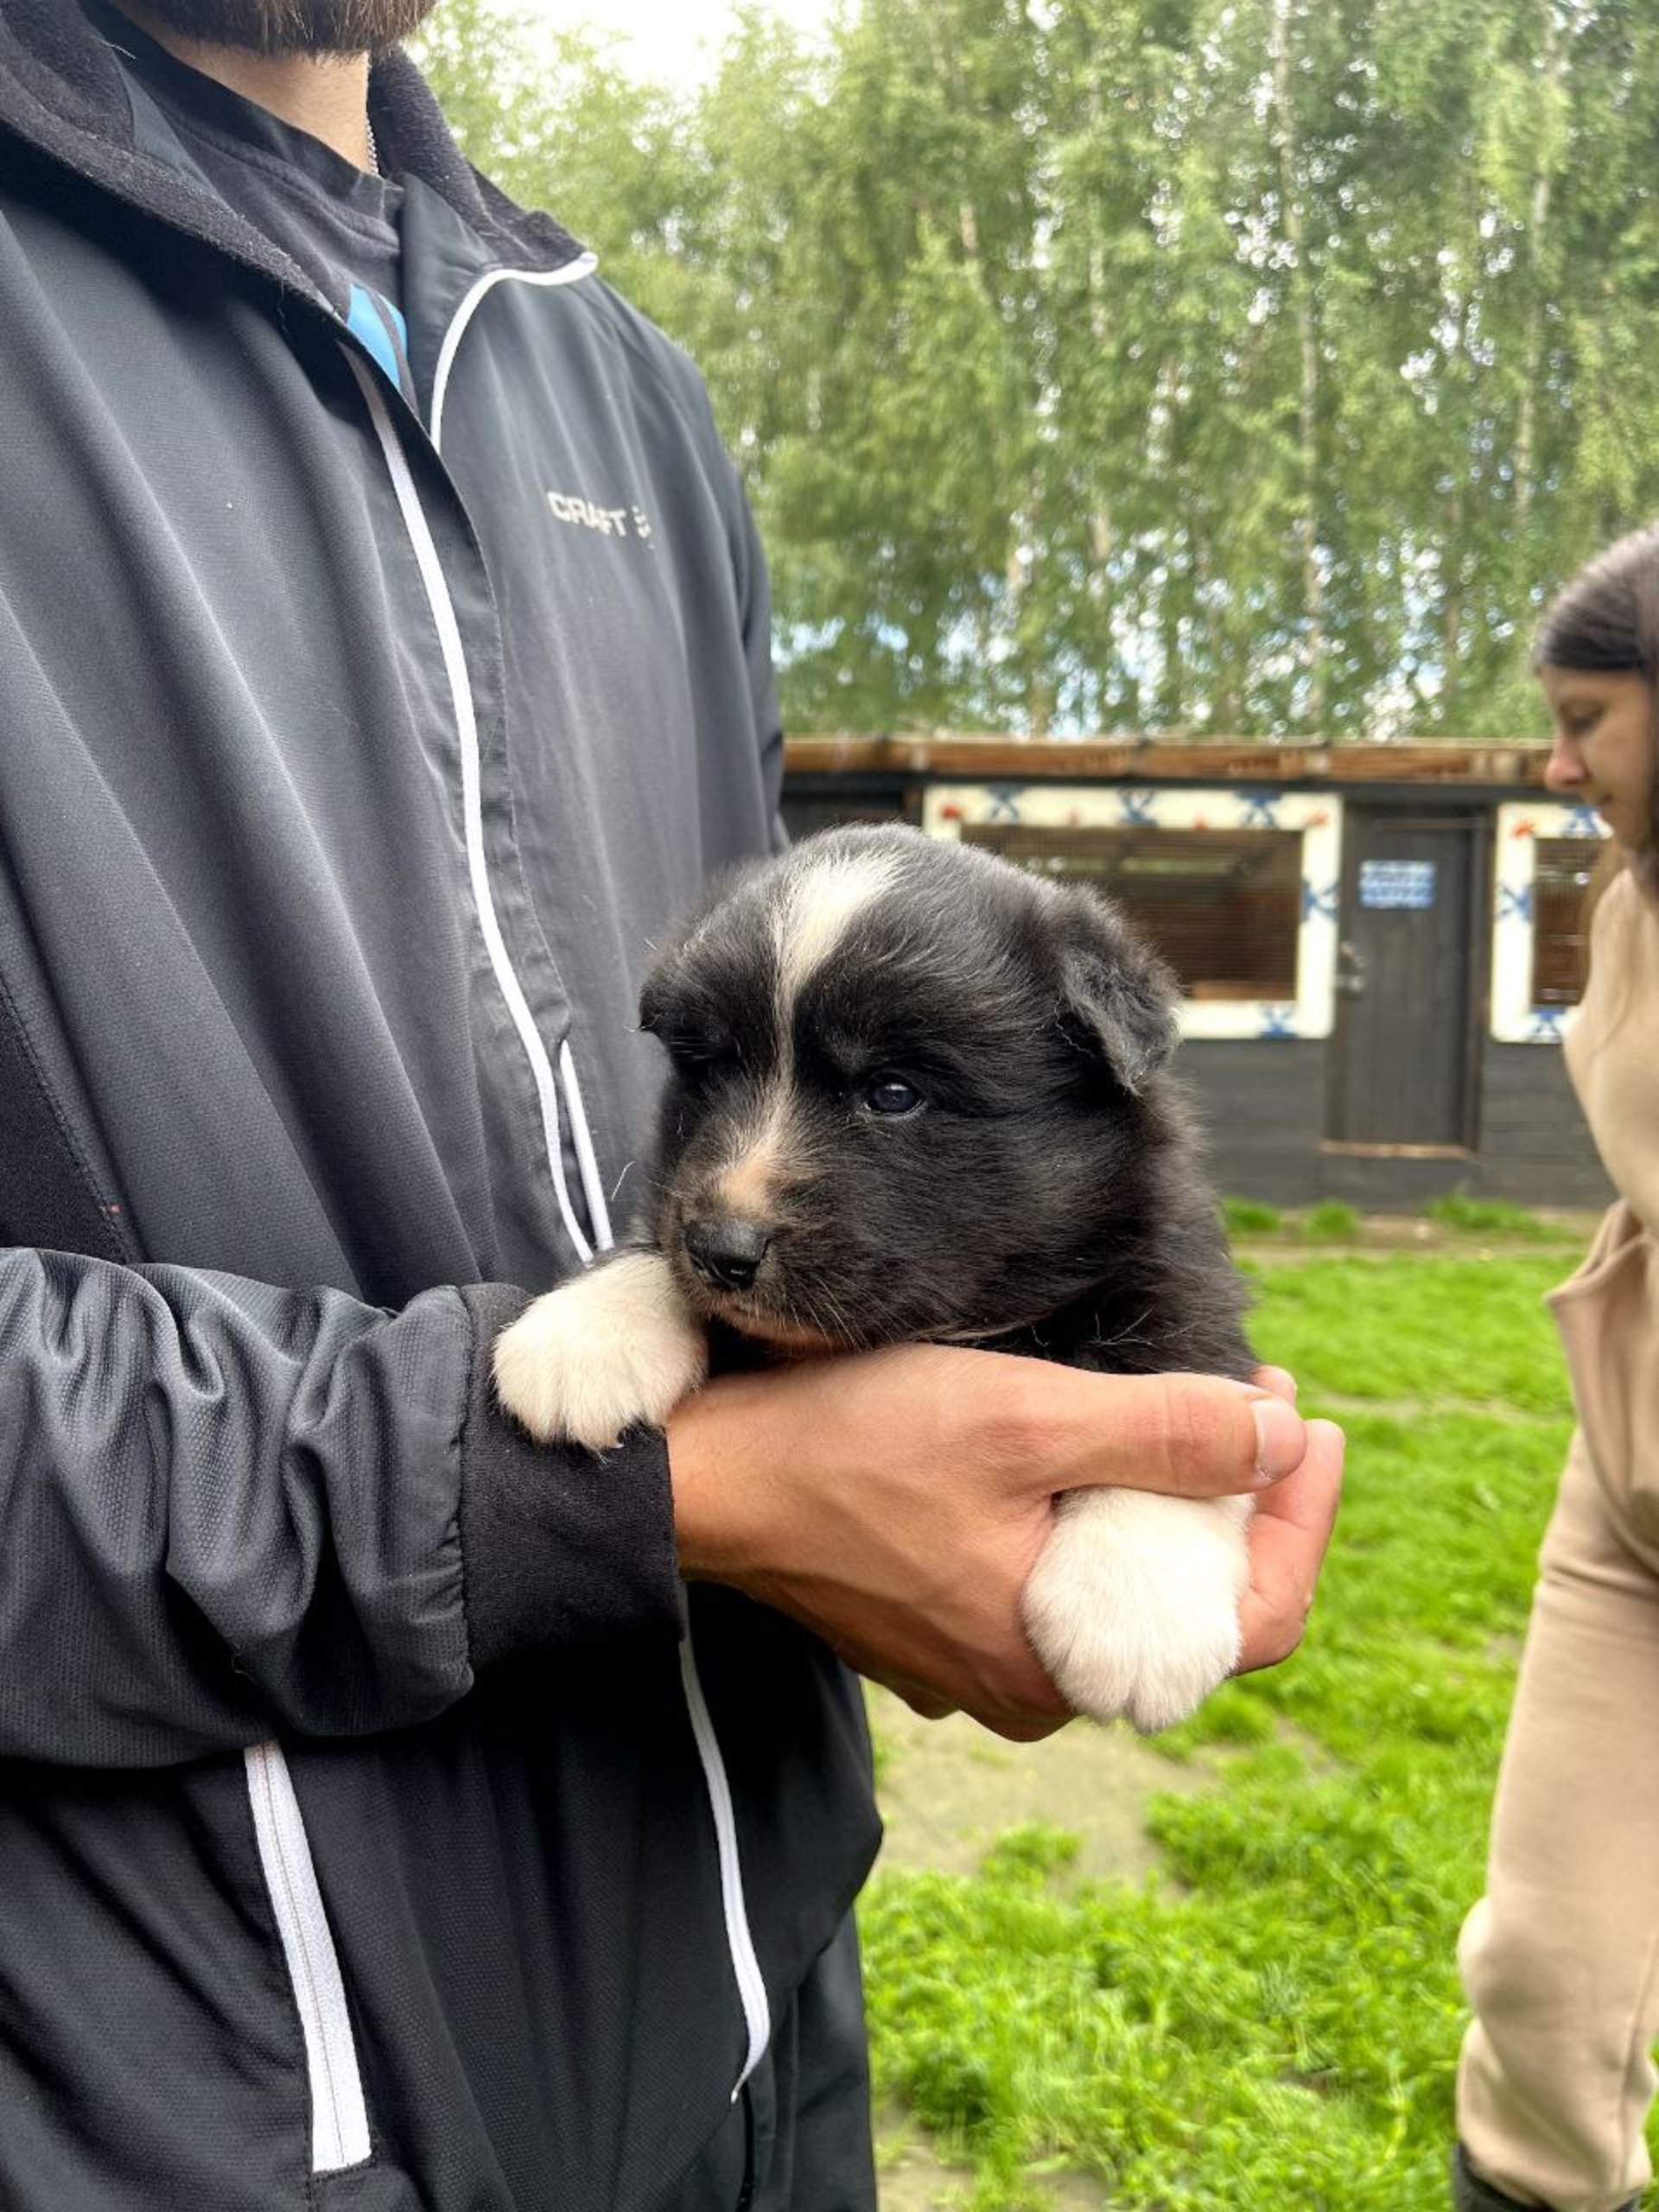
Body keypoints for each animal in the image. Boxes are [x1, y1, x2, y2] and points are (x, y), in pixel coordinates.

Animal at [493, 823, 1256, 1734]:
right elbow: (655, 1229)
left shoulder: (1171, 1265)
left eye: (893, 1093)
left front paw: (1137, 1611)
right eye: (708, 1072)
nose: (720, 1248)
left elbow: (1174, 1380)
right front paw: (585, 1335)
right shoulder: (682, 1199)